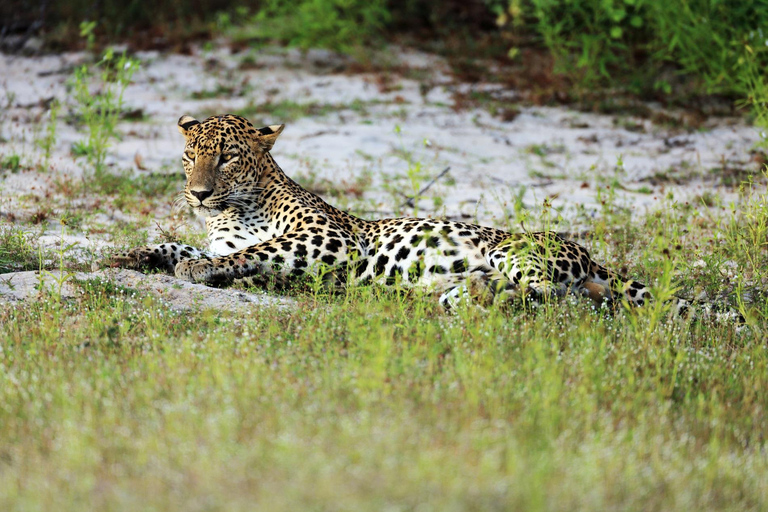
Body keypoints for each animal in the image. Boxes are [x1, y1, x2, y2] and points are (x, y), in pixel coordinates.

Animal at [114, 114, 696, 316]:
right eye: (190, 156)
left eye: (227, 158)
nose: (197, 194)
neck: (229, 214)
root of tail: (594, 257)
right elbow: (182, 245)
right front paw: (135, 254)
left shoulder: (331, 241)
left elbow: (258, 249)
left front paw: (195, 268)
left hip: (513, 250)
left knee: (550, 295)